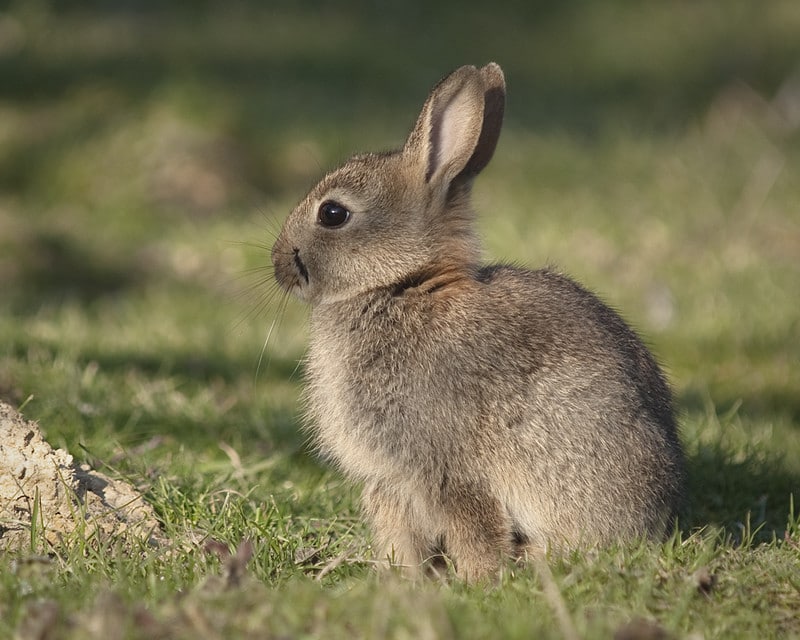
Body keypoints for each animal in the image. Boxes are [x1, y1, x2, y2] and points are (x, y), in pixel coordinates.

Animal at [272, 62, 684, 584]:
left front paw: (477, 581)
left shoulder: (443, 467)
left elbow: (474, 525)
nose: (278, 263)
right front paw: (406, 578)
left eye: (332, 213)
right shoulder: (391, 479)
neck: (401, 284)